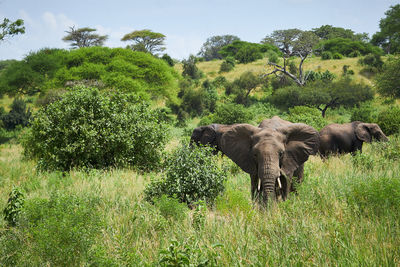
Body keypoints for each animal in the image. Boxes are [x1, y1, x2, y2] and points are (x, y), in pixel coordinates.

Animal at [190, 118, 318, 205]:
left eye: (281, 154)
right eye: (255, 154)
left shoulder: (288, 159)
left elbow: (286, 182)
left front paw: (283, 205)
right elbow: (255, 184)